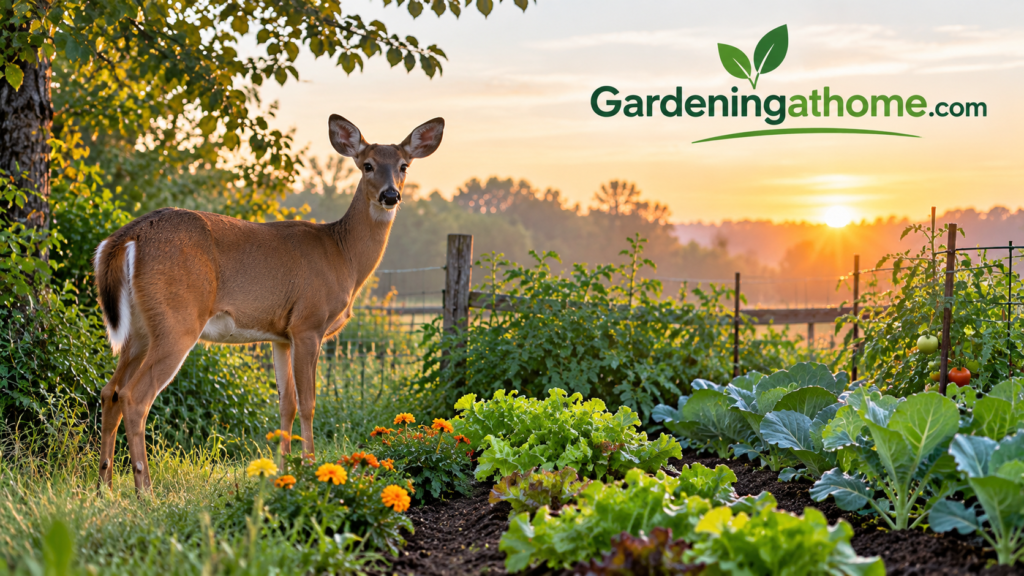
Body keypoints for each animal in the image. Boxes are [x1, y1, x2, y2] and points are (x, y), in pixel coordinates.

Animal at [92, 115, 444, 492]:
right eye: (368, 165)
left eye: (404, 166)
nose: (390, 195)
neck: (343, 255)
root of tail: (128, 236)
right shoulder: (308, 324)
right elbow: (308, 402)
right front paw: (310, 468)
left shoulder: (281, 336)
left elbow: (285, 403)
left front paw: (283, 470)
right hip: (178, 320)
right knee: (135, 396)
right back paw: (145, 489)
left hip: (141, 328)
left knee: (111, 391)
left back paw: (104, 487)